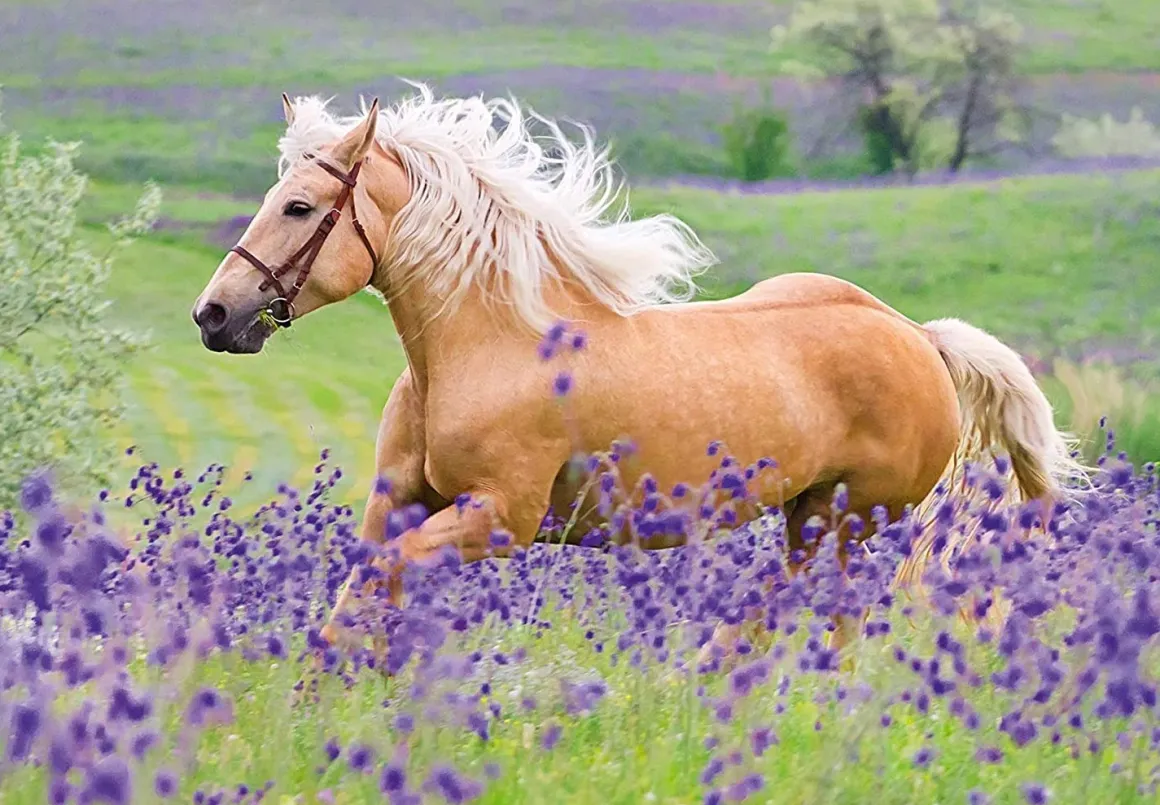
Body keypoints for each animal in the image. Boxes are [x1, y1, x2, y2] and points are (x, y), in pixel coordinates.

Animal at [190, 83, 1088, 671]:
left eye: (300, 208)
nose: (214, 315)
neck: (487, 344)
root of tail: (918, 337)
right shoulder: (400, 503)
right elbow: (357, 599)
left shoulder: (499, 516)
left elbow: (387, 581)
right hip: (811, 515)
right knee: (800, 609)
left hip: (849, 520)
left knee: (815, 610)